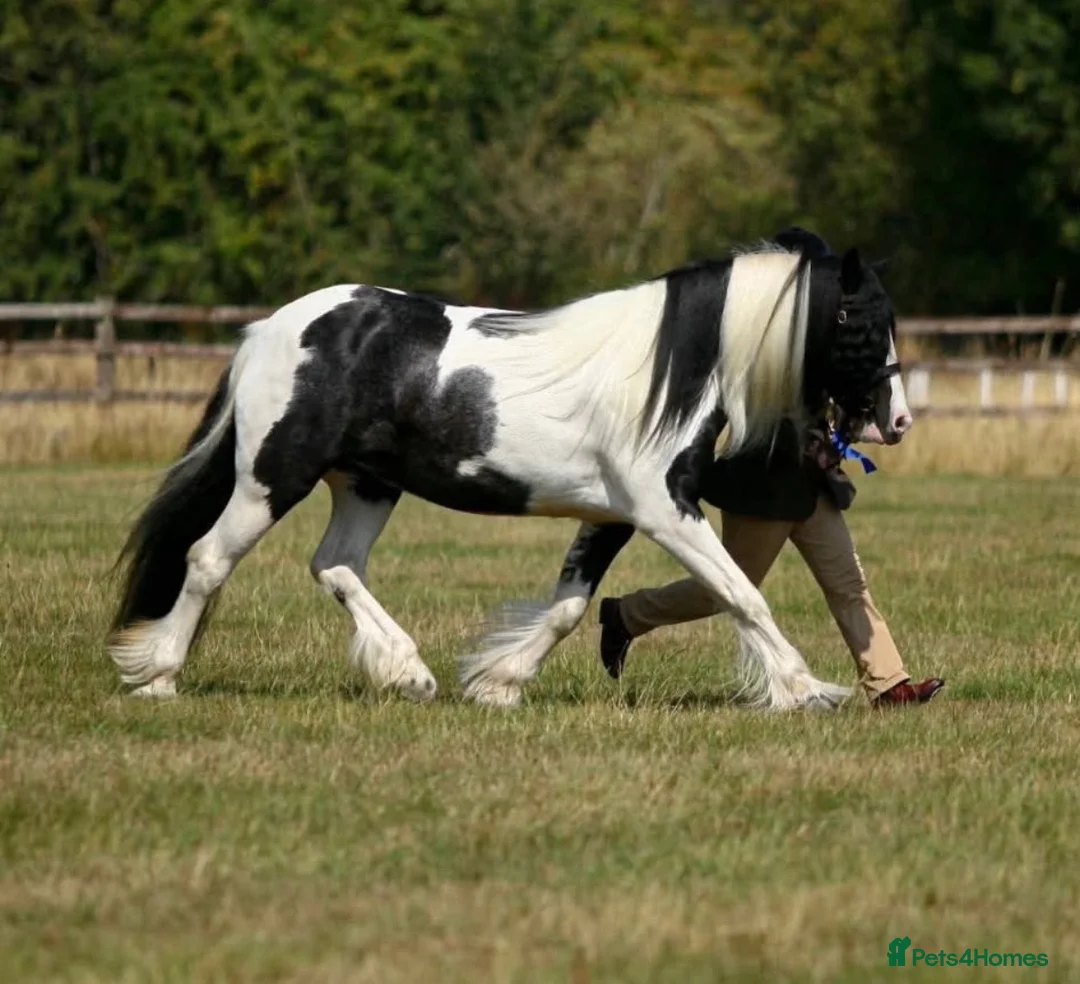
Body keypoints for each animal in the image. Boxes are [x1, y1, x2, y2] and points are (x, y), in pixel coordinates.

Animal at [107, 236, 907, 711]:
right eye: (858, 318)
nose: (895, 420)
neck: (668, 375)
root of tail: (267, 330)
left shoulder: (611, 515)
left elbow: (569, 608)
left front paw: (498, 682)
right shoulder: (665, 510)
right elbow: (743, 594)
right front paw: (804, 688)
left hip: (366, 484)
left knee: (335, 565)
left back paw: (410, 673)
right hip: (273, 477)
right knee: (208, 559)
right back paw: (158, 676)